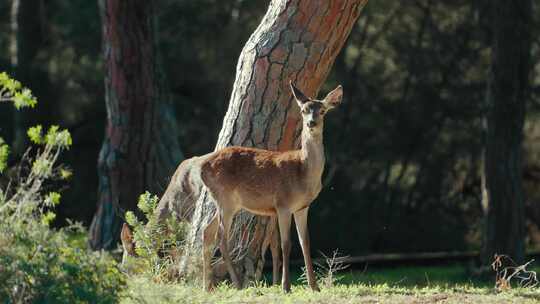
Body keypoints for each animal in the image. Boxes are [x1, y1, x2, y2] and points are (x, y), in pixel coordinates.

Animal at [121, 81, 344, 292]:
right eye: (304, 110)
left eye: (322, 111)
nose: (311, 123)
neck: (303, 172)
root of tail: (203, 165)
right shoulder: (282, 204)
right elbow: (286, 244)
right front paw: (286, 286)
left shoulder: (302, 207)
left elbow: (305, 243)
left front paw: (314, 286)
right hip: (225, 199)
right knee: (221, 237)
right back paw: (235, 283)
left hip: (224, 201)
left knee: (207, 232)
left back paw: (207, 286)